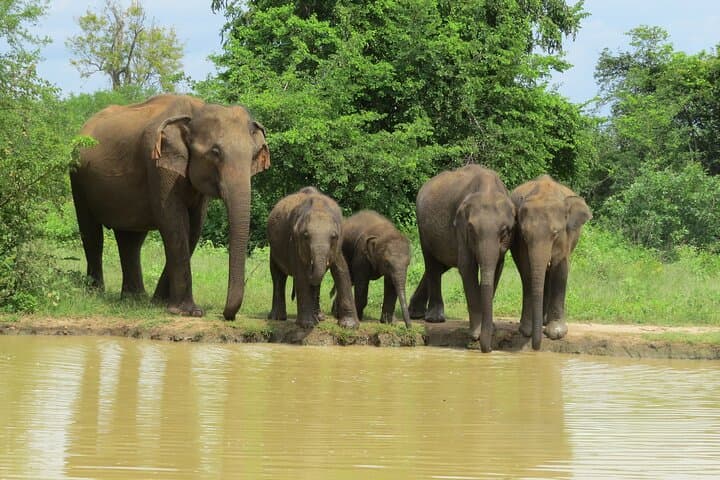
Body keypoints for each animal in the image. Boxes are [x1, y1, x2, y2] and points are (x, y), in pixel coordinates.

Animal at [70, 94, 270, 319]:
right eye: (215, 152)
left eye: (253, 155)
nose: (227, 315)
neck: (194, 112)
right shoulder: (157, 164)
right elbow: (174, 222)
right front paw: (188, 312)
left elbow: (194, 227)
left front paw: (159, 303)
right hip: (78, 177)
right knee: (92, 234)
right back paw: (96, 294)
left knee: (130, 240)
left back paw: (135, 299)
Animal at [266, 187, 359, 329]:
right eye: (305, 236)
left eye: (333, 236)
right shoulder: (294, 242)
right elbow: (301, 274)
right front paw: (307, 325)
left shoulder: (337, 246)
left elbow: (342, 271)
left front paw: (349, 326)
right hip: (275, 248)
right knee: (278, 276)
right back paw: (278, 318)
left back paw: (319, 317)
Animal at [408, 164, 515, 352]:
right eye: (471, 230)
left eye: (504, 231)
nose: (488, 349)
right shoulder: (461, 229)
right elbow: (467, 267)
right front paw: (476, 334)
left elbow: (497, 268)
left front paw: (489, 329)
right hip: (423, 228)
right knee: (432, 264)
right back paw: (434, 318)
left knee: (440, 266)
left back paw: (415, 313)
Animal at [510, 175, 592, 350]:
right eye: (525, 235)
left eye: (555, 233)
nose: (536, 348)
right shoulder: (520, 240)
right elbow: (527, 272)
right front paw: (527, 331)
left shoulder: (566, 236)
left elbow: (560, 269)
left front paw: (556, 333)